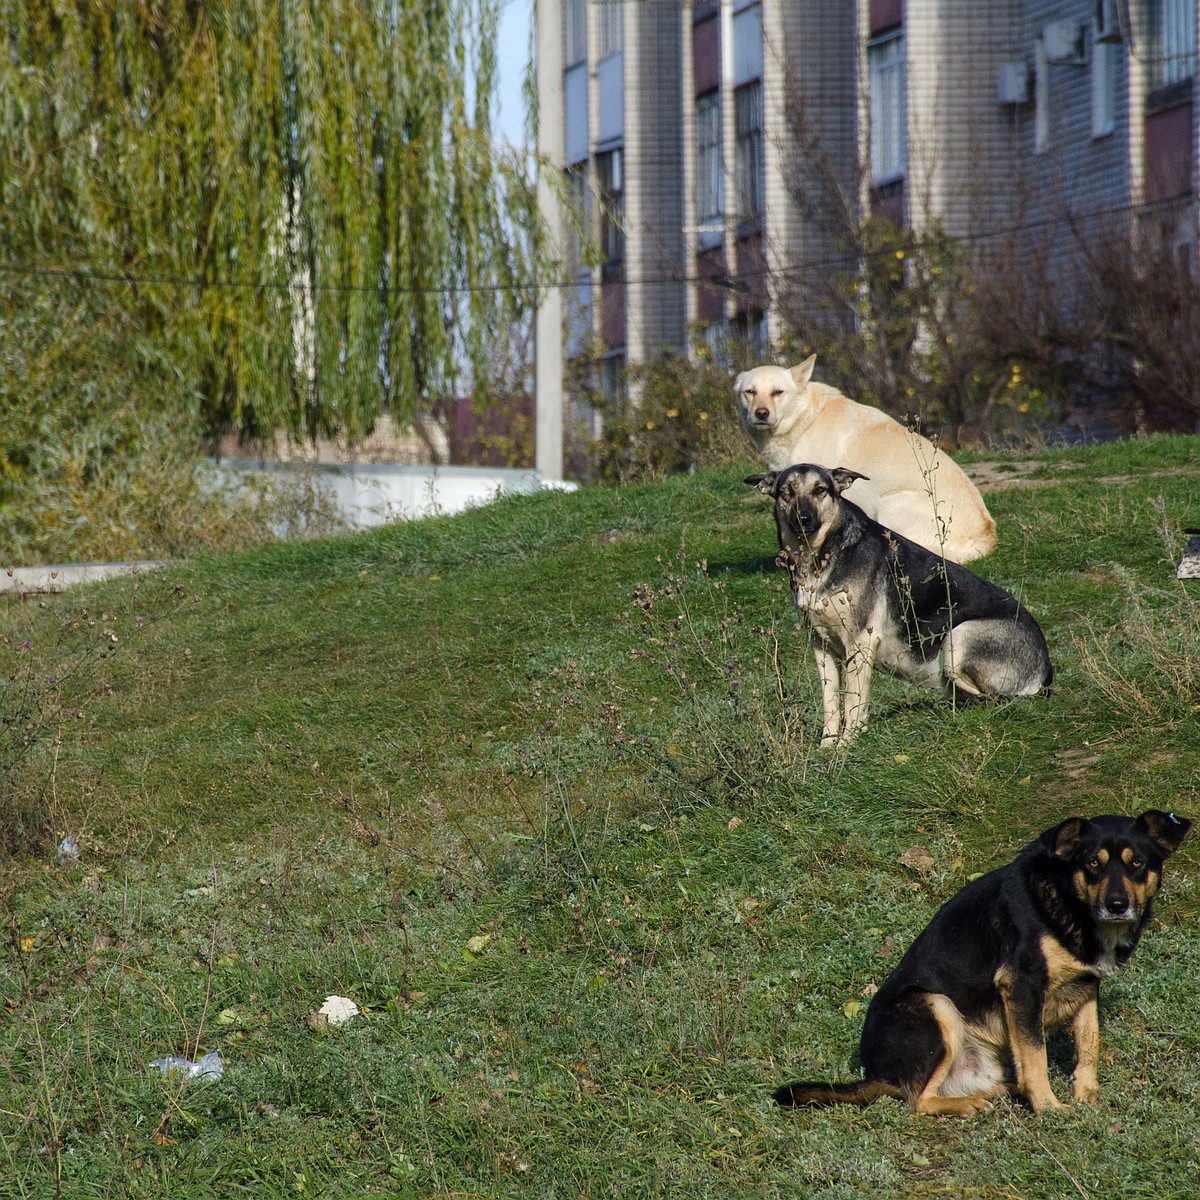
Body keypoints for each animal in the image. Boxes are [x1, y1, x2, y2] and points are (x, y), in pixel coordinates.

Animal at [734, 355, 998, 561]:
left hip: (890, 505)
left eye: (778, 392)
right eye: (750, 392)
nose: (761, 413)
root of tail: (987, 535)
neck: (803, 419)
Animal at [748, 463, 1051, 744]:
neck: (819, 557)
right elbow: (831, 702)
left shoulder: (860, 643)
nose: (803, 519)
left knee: (993, 697)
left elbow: (853, 700)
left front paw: (847, 744)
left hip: (958, 638)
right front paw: (828, 745)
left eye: (820, 490)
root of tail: (1046, 670)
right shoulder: (821, 647)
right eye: (787, 492)